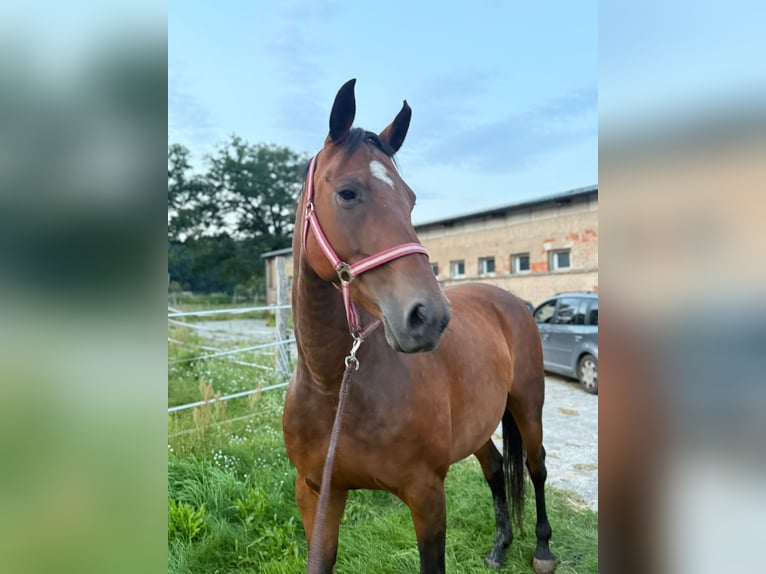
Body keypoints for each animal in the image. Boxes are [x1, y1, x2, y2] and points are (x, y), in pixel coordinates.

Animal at [282, 79, 555, 574]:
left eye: (410, 200)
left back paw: (543, 549)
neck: (335, 385)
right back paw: (500, 545)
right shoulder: (316, 493)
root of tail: (513, 302)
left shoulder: (426, 496)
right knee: (494, 468)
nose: (429, 317)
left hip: (528, 404)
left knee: (536, 466)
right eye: (347, 192)